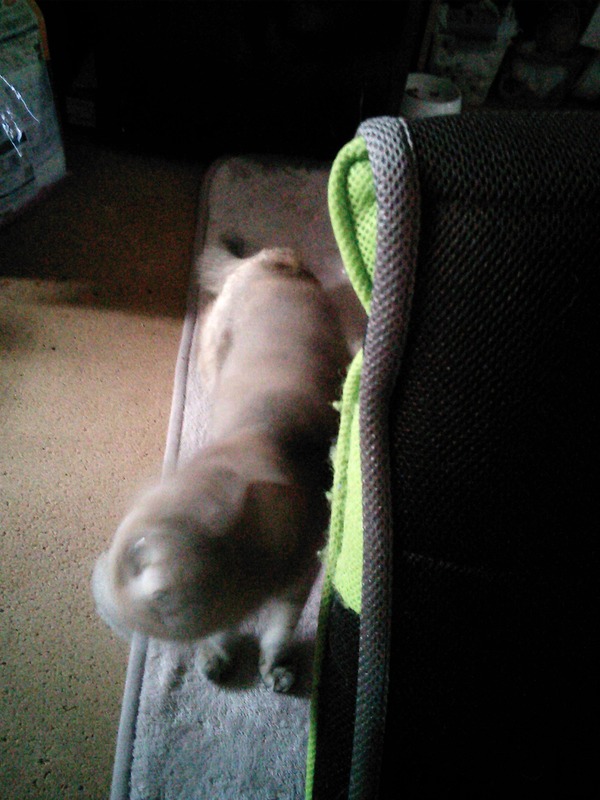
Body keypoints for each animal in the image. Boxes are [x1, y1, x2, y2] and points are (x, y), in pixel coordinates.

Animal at [93, 246, 349, 691]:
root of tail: (273, 257)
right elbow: (230, 632)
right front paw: (219, 656)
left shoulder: (298, 580)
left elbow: (279, 632)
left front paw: (274, 667)